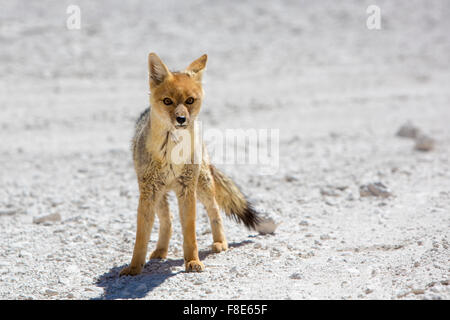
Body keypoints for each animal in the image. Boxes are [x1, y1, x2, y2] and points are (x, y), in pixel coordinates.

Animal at [119, 52, 262, 276]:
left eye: (190, 101)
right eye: (167, 101)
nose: (181, 119)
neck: (171, 151)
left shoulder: (187, 189)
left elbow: (190, 232)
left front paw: (193, 261)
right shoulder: (148, 192)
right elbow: (141, 236)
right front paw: (134, 268)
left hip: (202, 185)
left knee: (215, 210)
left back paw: (220, 242)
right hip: (158, 194)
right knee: (167, 221)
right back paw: (161, 251)